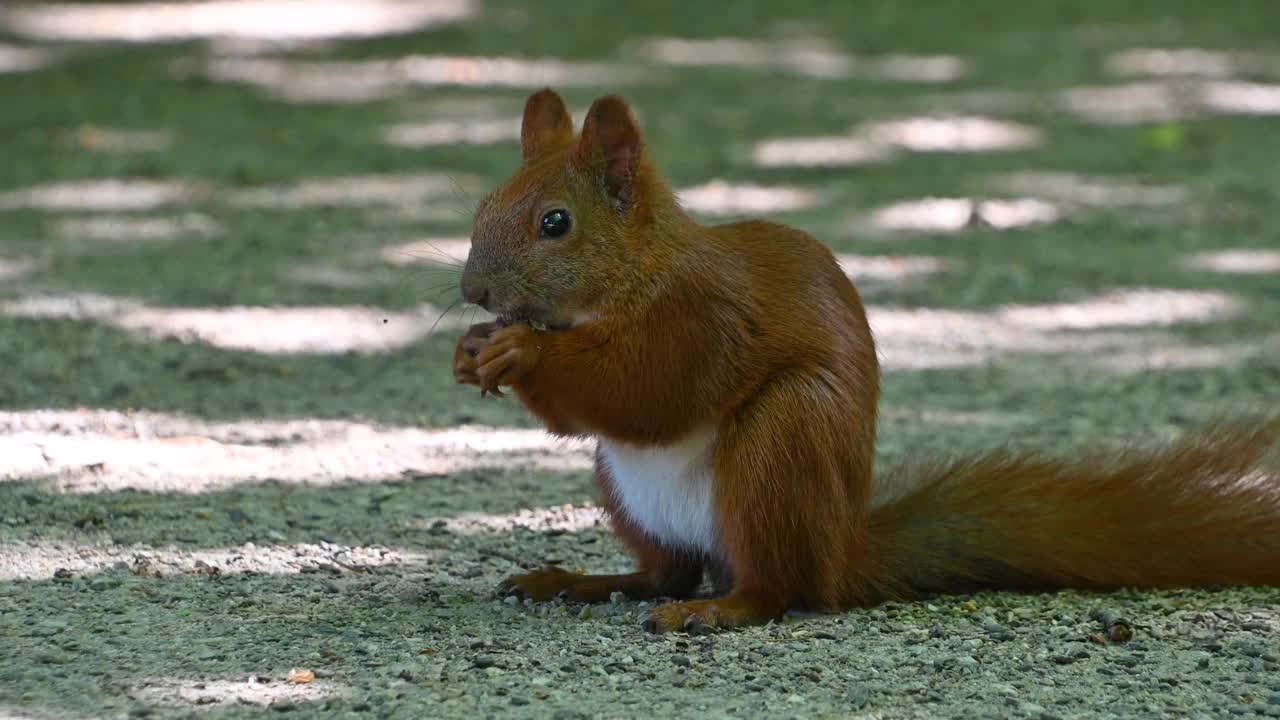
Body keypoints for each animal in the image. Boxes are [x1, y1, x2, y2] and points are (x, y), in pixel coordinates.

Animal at [453, 89, 1280, 632]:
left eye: (555, 223)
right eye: (482, 206)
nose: (472, 291)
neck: (636, 271)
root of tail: (843, 553)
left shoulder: (701, 319)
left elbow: (644, 389)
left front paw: (520, 349)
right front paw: (470, 351)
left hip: (782, 445)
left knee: (772, 587)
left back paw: (717, 610)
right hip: (627, 490)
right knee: (664, 571)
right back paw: (581, 581)